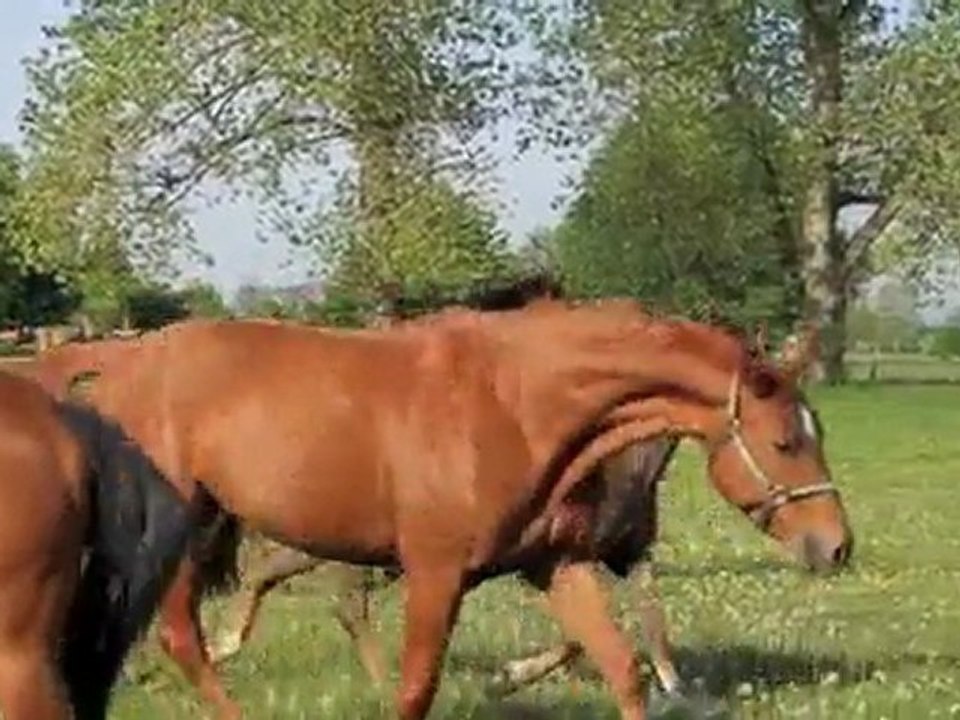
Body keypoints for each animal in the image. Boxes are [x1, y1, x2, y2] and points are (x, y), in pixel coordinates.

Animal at [34, 299, 852, 720]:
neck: (513, 403)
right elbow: (415, 687)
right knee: (177, 634)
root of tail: (117, 363)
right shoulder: (434, 573)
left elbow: (621, 666)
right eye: (785, 441)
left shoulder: (557, 564)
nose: (837, 546)